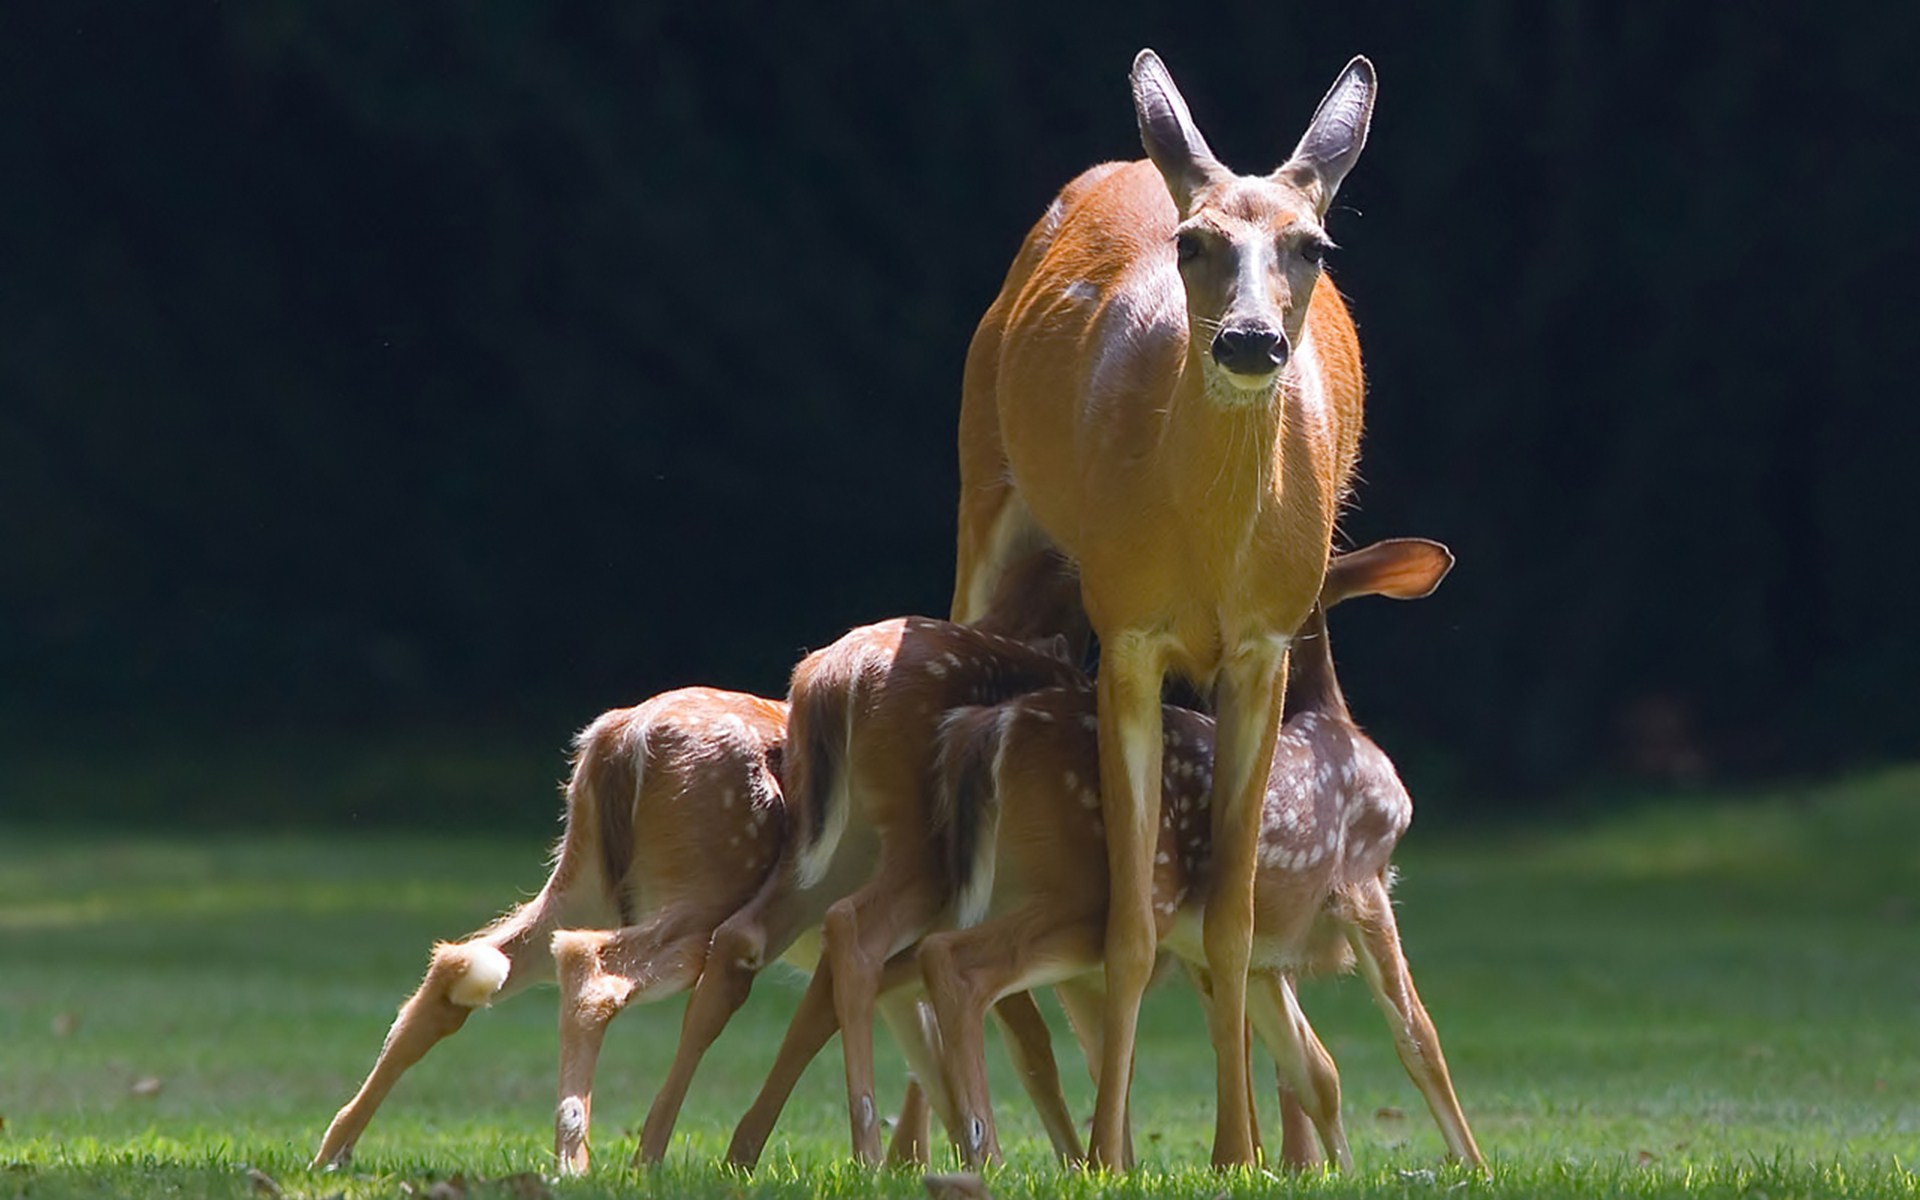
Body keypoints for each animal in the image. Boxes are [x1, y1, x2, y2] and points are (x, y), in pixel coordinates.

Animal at [556, 614, 1090, 1167]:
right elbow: (1032, 1040)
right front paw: (1070, 1164)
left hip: (823, 848)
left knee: (741, 939)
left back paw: (663, 1151)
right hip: (915, 846)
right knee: (855, 930)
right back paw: (869, 1150)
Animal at [917, 537, 1482, 1167]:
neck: (1335, 720)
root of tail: (988, 730)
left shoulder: (1261, 955)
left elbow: (1315, 1069)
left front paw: (1338, 1170)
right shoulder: (1364, 879)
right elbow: (1419, 1039)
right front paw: (1475, 1166)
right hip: (1088, 897)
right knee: (955, 962)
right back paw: (985, 1151)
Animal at [948, 51, 1382, 1167]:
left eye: (1314, 246)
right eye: (1194, 243)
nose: (1250, 342)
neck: (1206, 550)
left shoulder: (1266, 644)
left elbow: (1231, 917)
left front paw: (1239, 1153)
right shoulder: (1128, 630)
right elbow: (1130, 925)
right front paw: (1110, 1153)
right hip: (983, 497)